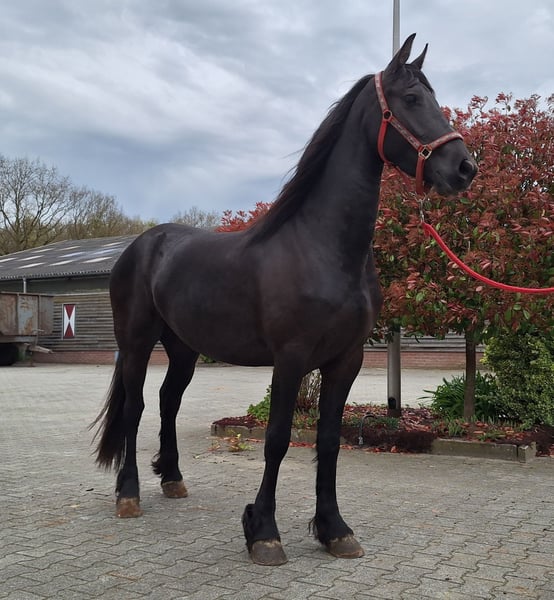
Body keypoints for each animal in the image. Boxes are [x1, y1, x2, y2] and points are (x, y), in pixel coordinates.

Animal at [92, 34, 477, 566]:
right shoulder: (290, 359)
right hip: (135, 341)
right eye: (412, 99)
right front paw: (264, 531)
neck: (320, 246)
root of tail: (140, 245)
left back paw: (172, 478)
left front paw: (335, 529)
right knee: (135, 408)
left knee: (169, 402)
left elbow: (329, 441)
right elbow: (276, 440)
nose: (464, 168)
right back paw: (128, 494)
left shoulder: (346, 360)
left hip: (184, 347)